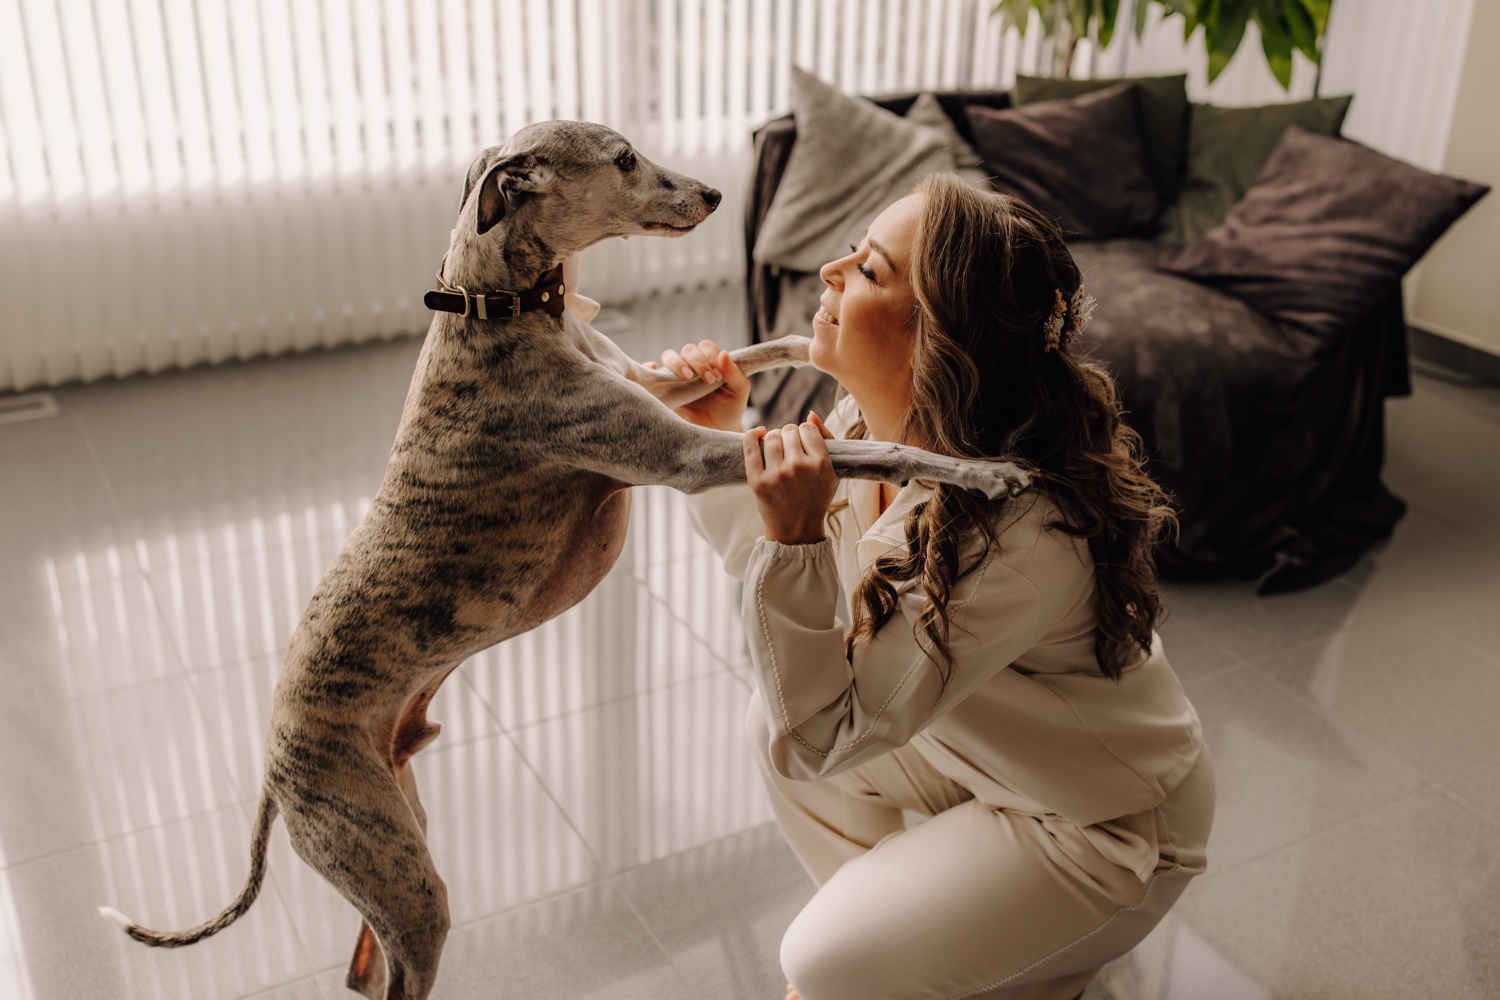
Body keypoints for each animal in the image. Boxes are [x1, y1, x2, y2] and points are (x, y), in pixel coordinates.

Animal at [99, 122, 1026, 1000]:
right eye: (622, 158)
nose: (715, 193)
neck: (503, 307)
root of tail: (272, 767)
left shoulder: (650, 385)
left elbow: (755, 351)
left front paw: (813, 339)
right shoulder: (686, 454)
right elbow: (878, 453)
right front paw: (984, 470)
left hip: (399, 842)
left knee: (364, 969)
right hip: (397, 872)